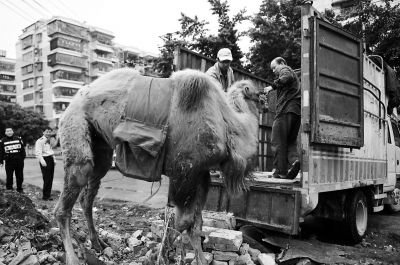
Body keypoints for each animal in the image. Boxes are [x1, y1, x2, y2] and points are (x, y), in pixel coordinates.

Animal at [54, 67, 266, 262]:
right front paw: (162, 255)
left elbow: (196, 225)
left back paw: (98, 243)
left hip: (101, 147)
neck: (226, 125)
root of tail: (76, 97)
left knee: (88, 195)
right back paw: (73, 257)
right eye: (255, 91)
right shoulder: (184, 171)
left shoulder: (201, 174)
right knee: (65, 203)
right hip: (75, 125)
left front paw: (199, 260)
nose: (265, 98)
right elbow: (182, 223)